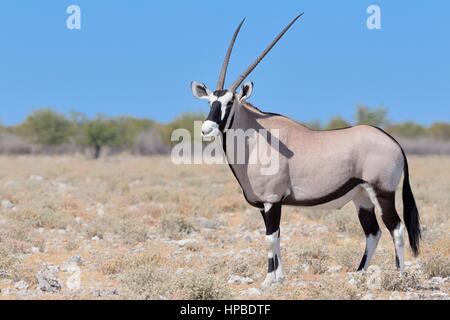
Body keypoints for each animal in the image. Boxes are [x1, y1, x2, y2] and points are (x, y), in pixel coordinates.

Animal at [191, 14, 422, 290]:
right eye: (209, 102)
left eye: (229, 102)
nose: (207, 128)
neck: (256, 140)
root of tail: (394, 142)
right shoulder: (265, 205)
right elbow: (277, 236)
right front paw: (279, 277)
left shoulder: (272, 201)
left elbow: (270, 238)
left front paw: (268, 281)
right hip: (361, 197)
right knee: (373, 231)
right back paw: (359, 273)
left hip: (382, 192)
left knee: (395, 228)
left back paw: (399, 275)